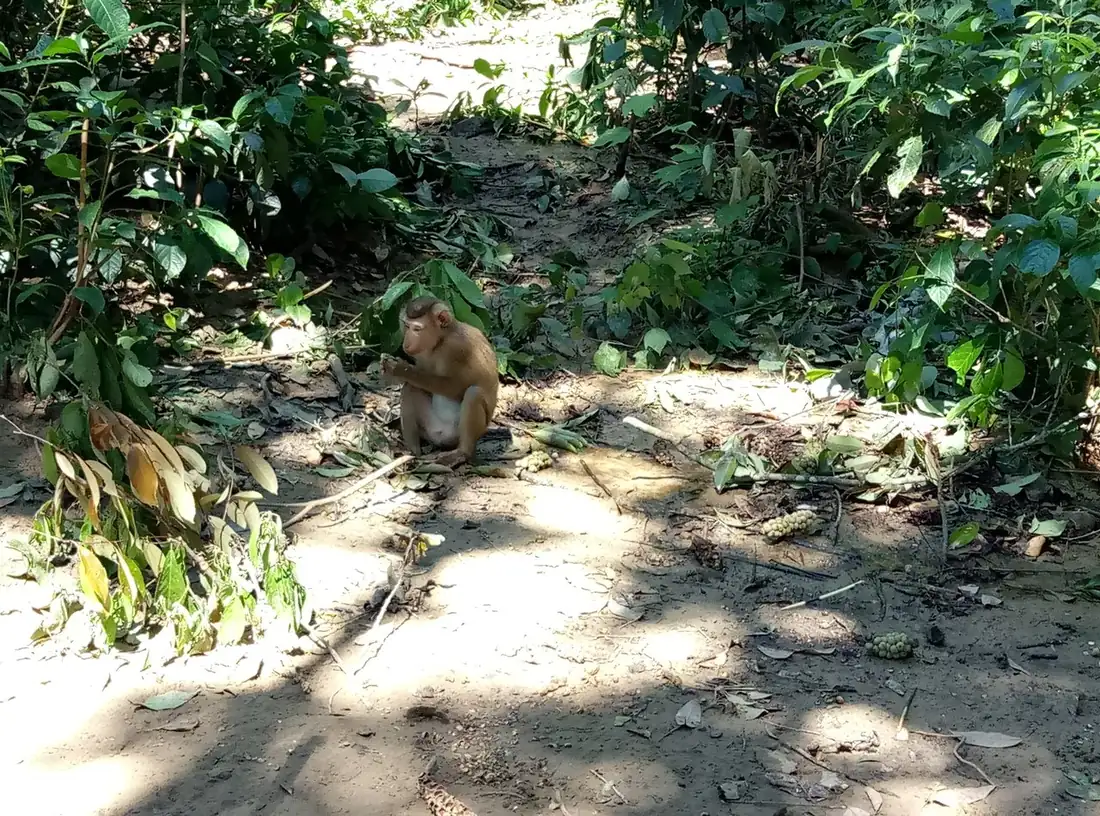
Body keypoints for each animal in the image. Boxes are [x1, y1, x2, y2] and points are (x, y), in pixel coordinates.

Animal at [381, 297, 499, 467]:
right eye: (407, 326)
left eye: (417, 329)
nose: (406, 343)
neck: (441, 340)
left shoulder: (457, 348)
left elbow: (454, 387)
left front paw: (400, 369)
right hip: (431, 427)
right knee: (411, 388)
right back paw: (412, 450)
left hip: (454, 435)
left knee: (473, 393)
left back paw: (462, 453)